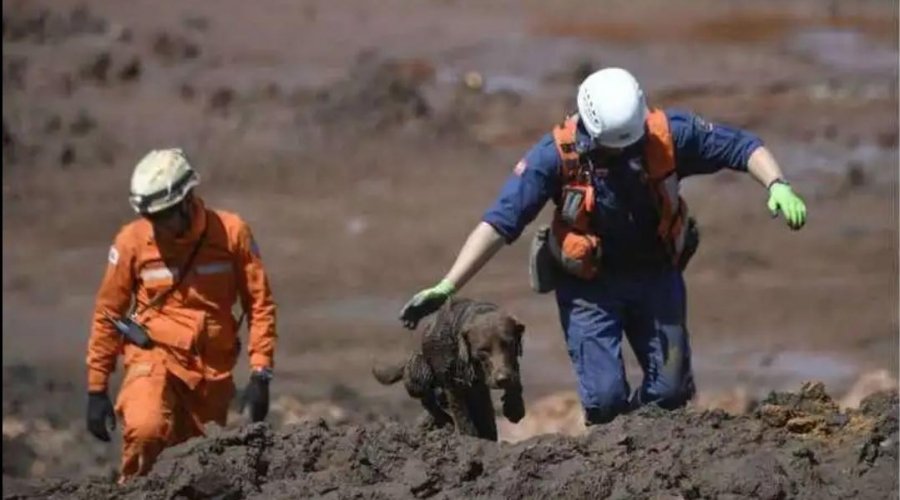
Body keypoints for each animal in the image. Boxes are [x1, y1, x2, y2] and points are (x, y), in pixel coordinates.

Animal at [374, 298, 528, 440]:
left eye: (509, 344)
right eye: (482, 351)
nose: (502, 379)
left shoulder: (510, 364)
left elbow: (515, 379)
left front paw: (514, 408)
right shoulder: (453, 380)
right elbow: (460, 410)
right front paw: (468, 435)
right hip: (420, 371)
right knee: (428, 400)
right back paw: (446, 420)